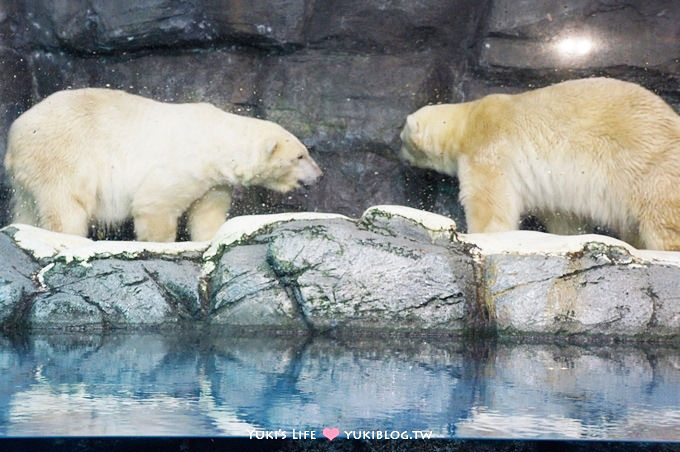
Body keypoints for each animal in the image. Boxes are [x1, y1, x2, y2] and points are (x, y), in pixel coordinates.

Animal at [4, 89, 324, 244]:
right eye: (300, 156)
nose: (320, 175)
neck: (216, 139)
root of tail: (15, 133)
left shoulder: (213, 180)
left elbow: (207, 212)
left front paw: (210, 237)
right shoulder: (184, 164)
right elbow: (155, 203)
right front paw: (163, 243)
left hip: (28, 174)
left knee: (28, 205)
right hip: (61, 154)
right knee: (66, 202)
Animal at [402, 77, 680, 251]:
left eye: (402, 137)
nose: (398, 152)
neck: (467, 121)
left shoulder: (488, 147)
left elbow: (489, 201)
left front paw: (480, 236)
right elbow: (563, 217)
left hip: (649, 164)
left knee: (662, 216)